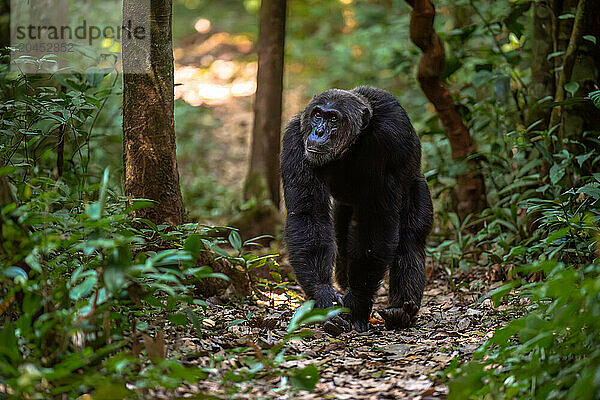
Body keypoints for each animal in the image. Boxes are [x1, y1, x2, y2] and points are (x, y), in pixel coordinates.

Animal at [280, 86, 432, 332]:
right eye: (318, 115)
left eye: (333, 118)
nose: (319, 131)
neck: (351, 146)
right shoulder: (294, 140)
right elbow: (308, 214)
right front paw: (324, 296)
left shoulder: (390, 141)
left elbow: (377, 224)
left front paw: (357, 302)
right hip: (344, 208)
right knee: (342, 242)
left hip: (417, 185)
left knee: (410, 241)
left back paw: (401, 312)